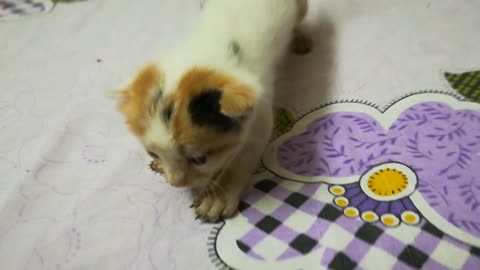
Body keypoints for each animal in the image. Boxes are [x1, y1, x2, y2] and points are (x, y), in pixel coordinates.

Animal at [116, 0, 312, 221]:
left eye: (199, 159)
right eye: (152, 154)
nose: (176, 183)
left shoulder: (260, 111)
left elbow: (244, 154)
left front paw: (218, 197)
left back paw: (299, 38)